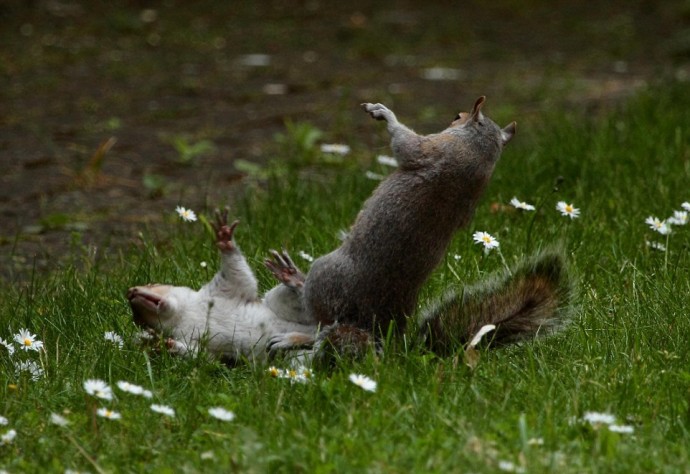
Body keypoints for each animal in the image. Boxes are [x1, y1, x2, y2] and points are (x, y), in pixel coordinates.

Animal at [126, 210, 314, 362]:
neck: (182, 315)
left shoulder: (223, 290)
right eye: (138, 320)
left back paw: (292, 277)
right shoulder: (197, 344)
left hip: (279, 302)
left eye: (152, 283)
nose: (130, 292)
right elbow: (199, 357)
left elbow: (238, 274)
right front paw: (162, 345)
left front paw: (225, 238)